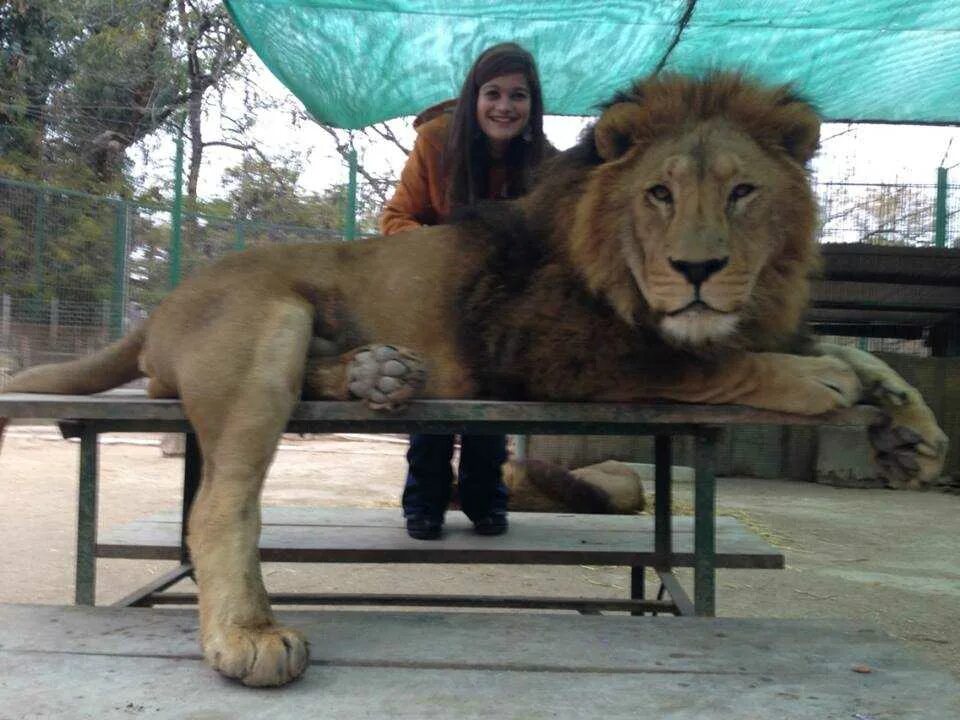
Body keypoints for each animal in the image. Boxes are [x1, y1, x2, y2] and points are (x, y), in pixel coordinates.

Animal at [0, 73, 944, 688]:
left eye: (743, 191)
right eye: (660, 194)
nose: (699, 270)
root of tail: (157, 307)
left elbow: (846, 354)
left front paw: (907, 425)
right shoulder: (553, 346)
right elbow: (709, 358)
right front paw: (821, 378)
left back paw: (380, 370)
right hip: (261, 322)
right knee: (217, 504)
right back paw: (248, 635)